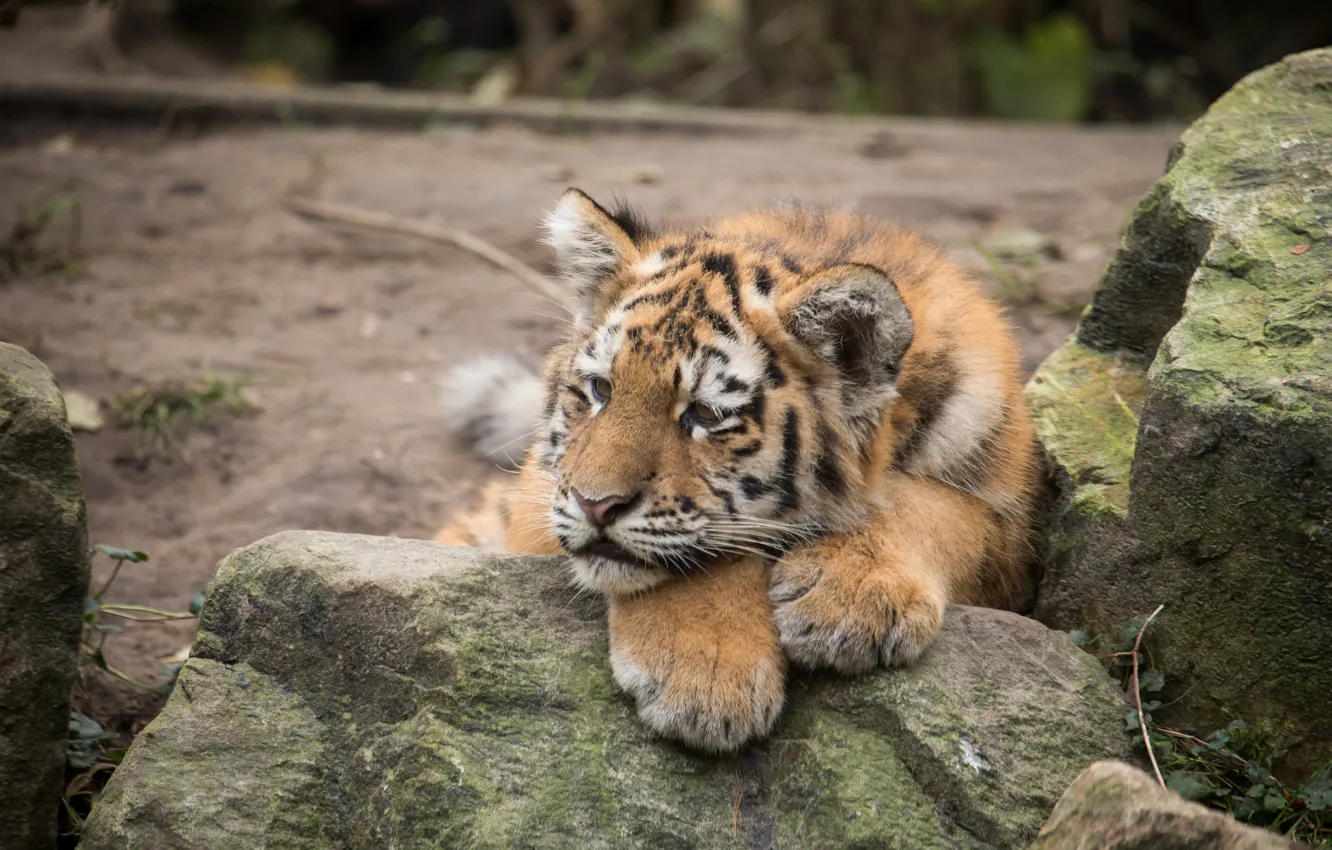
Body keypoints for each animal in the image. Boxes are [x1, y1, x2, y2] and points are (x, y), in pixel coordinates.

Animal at [436, 188, 1040, 753]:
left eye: (705, 415)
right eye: (601, 389)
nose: (595, 505)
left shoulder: (1013, 537)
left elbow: (939, 507)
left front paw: (851, 597)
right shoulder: (543, 497)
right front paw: (704, 678)